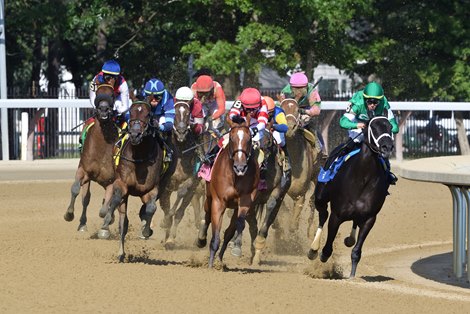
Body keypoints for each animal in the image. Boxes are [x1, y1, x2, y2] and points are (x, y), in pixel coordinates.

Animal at [63, 84, 118, 232]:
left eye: (112, 94)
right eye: (98, 92)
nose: (103, 109)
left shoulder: (111, 180)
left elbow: (105, 208)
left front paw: (106, 224)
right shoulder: (83, 170)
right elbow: (75, 189)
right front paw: (69, 214)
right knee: (86, 198)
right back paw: (82, 224)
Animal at [97, 100, 163, 262]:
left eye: (147, 114)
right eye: (131, 113)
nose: (135, 134)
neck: (139, 156)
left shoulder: (152, 189)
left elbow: (151, 208)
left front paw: (146, 230)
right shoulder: (122, 183)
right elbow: (116, 202)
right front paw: (107, 220)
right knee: (123, 220)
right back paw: (120, 252)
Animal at [159, 100, 201, 248]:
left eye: (188, 114)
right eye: (175, 113)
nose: (182, 132)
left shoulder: (192, 180)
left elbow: (183, 190)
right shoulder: (166, 184)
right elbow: (166, 209)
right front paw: (165, 221)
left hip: (192, 193)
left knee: (179, 213)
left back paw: (170, 239)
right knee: (165, 208)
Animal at [196, 114, 258, 268]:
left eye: (249, 138)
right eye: (231, 138)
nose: (240, 167)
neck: (235, 176)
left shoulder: (245, 201)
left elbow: (238, 225)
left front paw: (233, 249)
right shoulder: (218, 202)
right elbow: (215, 235)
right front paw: (210, 266)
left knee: (230, 230)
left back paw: (220, 258)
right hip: (209, 196)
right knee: (207, 215)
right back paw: (201, 239)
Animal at [308, 116, 396, 278]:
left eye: (390, 127)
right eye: (373, 127)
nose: (387, 147)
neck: (362, 177)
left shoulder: (369, 218)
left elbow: (356, 251)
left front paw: (352, 275)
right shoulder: (337, 215)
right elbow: (327, 248)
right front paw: (321, 254)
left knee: (354, 223)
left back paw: (349, 239)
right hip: (320, 196)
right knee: (323, 215)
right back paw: (313, 249)